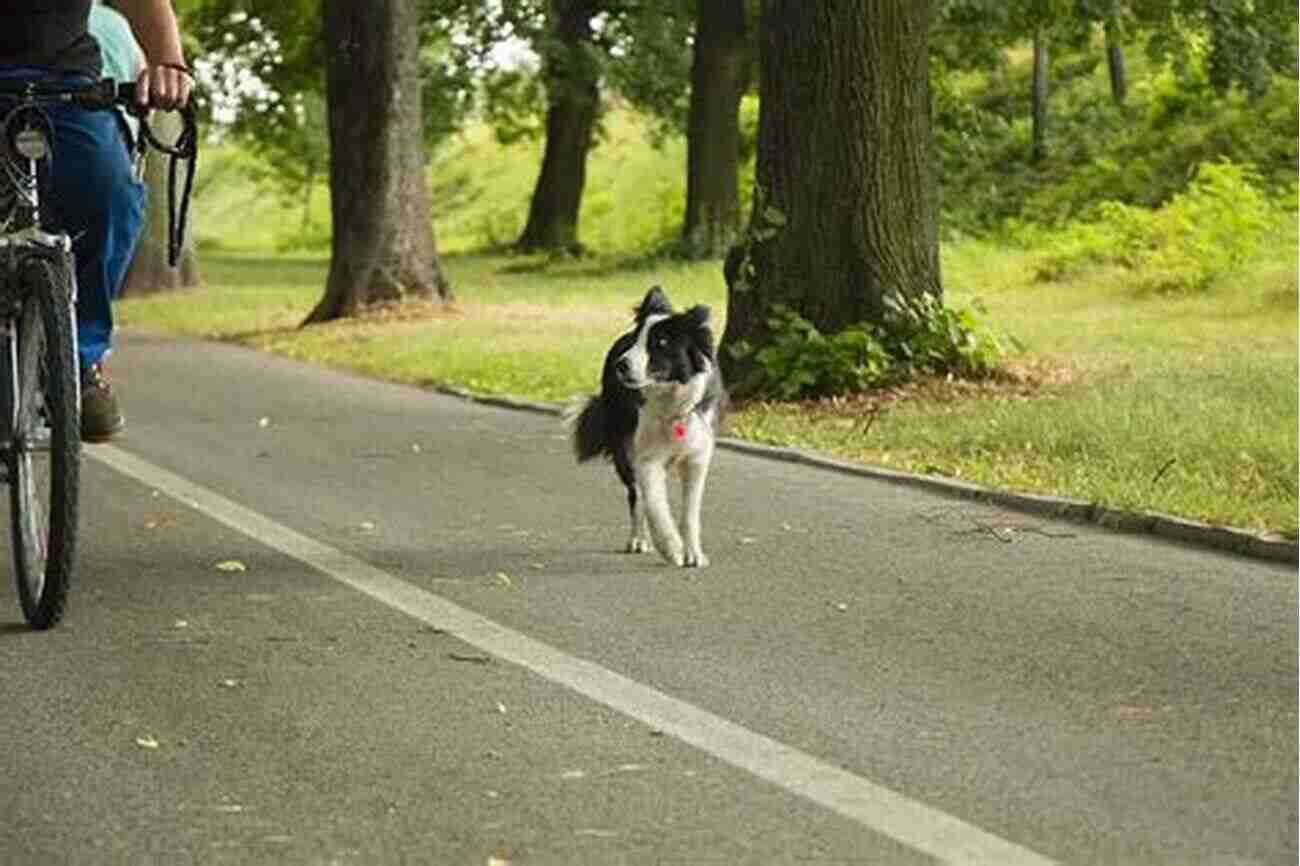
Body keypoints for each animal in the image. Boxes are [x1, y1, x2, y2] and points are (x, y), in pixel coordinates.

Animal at [572, 284, 733, 566]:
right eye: (636, 340)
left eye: (661, 343)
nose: (621, 365)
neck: (672, 403)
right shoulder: (647, 458)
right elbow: (656, 506)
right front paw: (671, 547)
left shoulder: (697, 457)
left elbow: (690, 513)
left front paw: (693, 553)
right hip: (623, 447)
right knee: (637, 497)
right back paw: (638, 539)